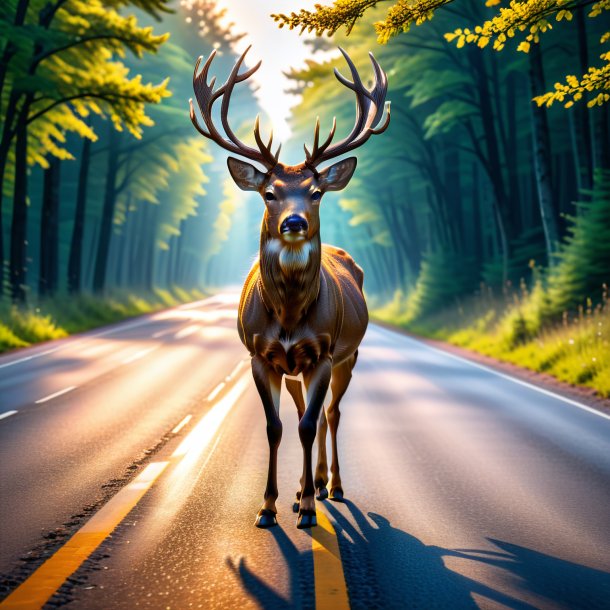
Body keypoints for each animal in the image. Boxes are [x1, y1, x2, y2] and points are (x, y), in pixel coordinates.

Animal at [189, 45, 390, 524]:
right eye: (269, 193)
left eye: (316, 192)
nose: (294, 222)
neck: (288, 315)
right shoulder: (259, 355)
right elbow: (275, 426)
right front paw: (268, 506)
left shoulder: (324, 351)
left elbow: (307, 424)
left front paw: (309, 509)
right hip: (296, 367)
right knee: (305, 413)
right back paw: (303, 488)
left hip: (347, 355)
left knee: (330, 414)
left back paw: (330, 486)